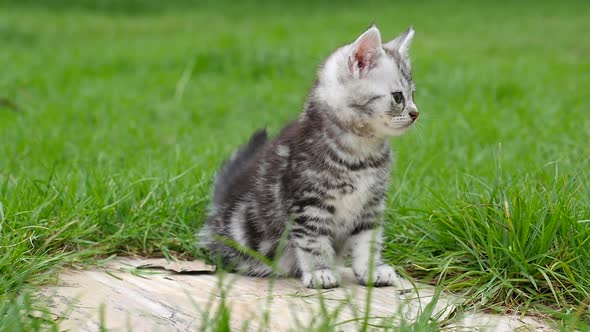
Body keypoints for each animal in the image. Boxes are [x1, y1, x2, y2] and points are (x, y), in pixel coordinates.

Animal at [201, 24, 418, 288]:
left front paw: (371, 269)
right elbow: (314, 242)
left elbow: (368, 241)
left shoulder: (371, 205)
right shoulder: (308, 205)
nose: (415, 113)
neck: (360, 153)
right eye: (398, 97)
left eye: (413, 95)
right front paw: (320, 272)